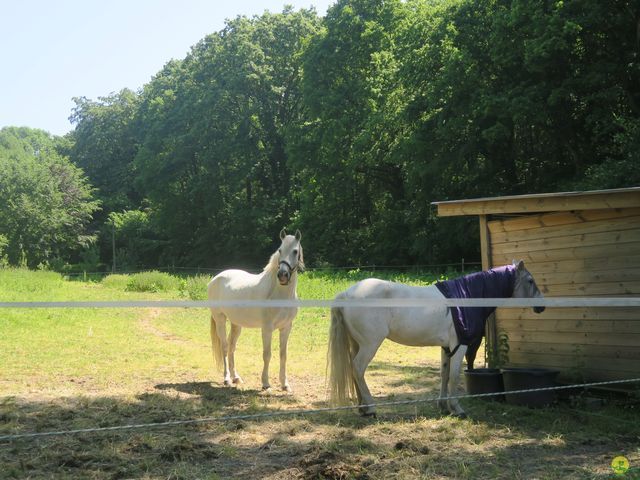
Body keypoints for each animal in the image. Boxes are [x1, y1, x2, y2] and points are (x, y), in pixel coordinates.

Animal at [208, 228, 302, 390]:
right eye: (280, 250)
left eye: (295, 251)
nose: (282, 275)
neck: (278, 293)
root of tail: (216, 278)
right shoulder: (267, 328)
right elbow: (267, 354)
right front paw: (265, 383)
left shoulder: (286, 327)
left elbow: (283, 355)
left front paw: (285, 384)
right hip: (220, 319)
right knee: (225, 347)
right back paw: (227, 379)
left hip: (236, 324)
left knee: (232, 347)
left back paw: (236, 377)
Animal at [330, 260, 544, 418]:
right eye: (530, 280)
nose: (541, 307)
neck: (465, 297)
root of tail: (347, 294)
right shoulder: (460, 346)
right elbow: (455, 376)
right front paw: (457, 409)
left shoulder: (446, 347)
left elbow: (444, 374)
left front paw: (443, 407)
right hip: (370, 345)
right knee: (358, 368)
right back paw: (372, 408)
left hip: (357, 344)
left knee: (354, 371)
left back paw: (363, 408)